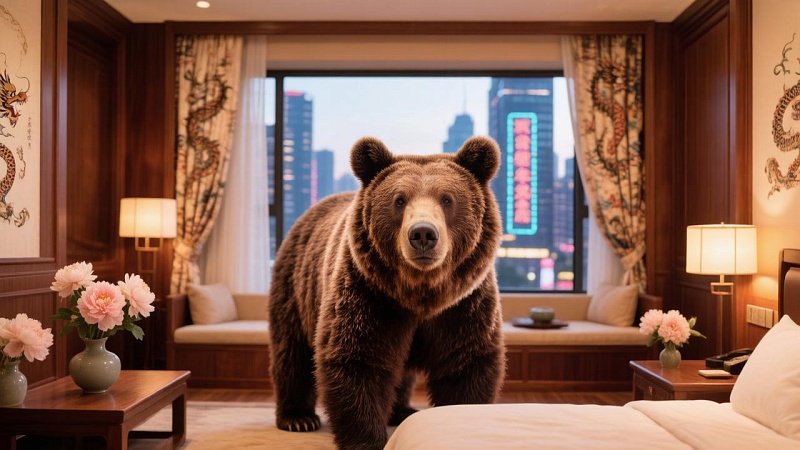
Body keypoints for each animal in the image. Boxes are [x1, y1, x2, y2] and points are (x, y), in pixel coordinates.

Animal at [268, 136, 506, 449]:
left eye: (447, 199)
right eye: (399, 200)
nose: (423, 234)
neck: (419, 293)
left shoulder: (464, 304)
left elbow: (465, 363)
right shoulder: (369, 295)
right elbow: (358, 359)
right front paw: (365, 439)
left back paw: (401, 410)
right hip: (296, 287)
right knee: (291, 351)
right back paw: (297, 418)